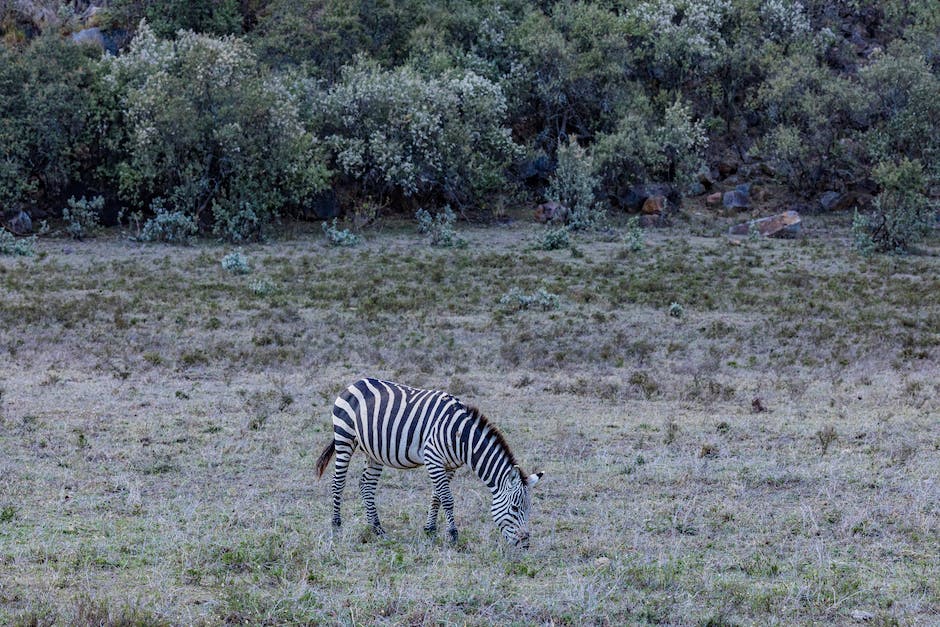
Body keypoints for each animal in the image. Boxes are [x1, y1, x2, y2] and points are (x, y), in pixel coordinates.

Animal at [314, 378, 544, 548]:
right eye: (515, 508)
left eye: (529, 508)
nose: (525, 545)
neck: (461, 437)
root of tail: (355, 382)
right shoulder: (433, 459)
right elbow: (447, 499)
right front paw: (453, 535)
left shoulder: (449, 466)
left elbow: (436, 498)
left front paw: (430, 530)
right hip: (344, 437)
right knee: (338, 483)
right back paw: (336, 525)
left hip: (374, 451)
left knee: (366, 485)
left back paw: (377, 528)